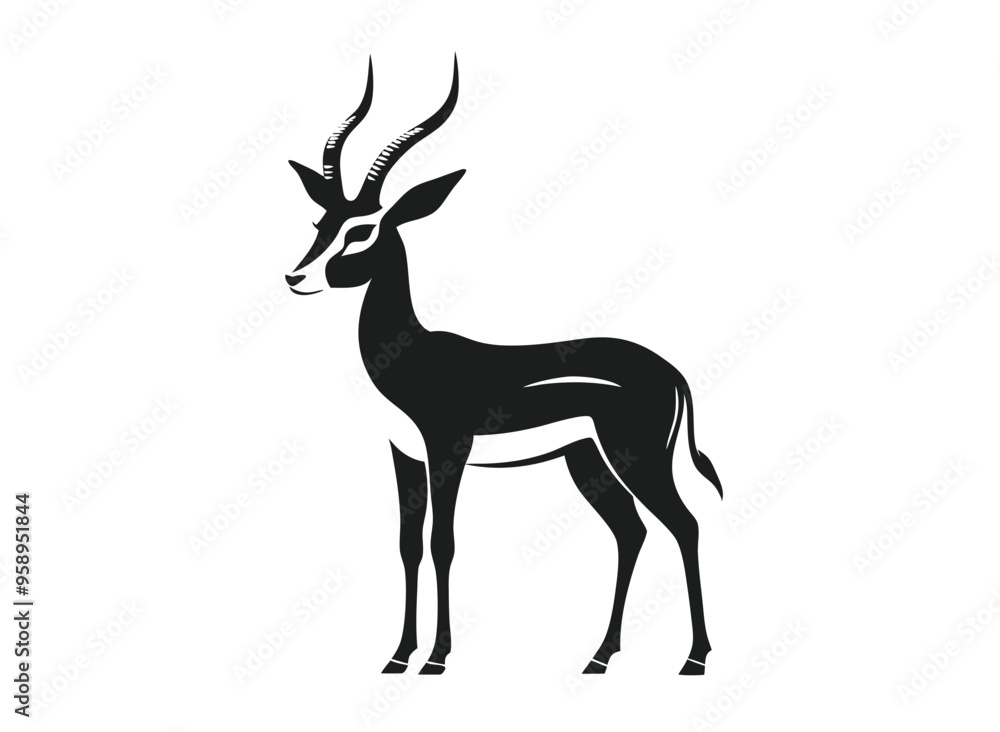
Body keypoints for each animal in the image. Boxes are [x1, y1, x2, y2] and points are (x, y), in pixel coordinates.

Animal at [284, 56, 724, 676]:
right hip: (586, 459)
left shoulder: (448, 447)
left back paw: (694, 659)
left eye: (362, 229)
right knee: (631, 531)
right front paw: (397, 656)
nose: (296, 277)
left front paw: (437, 658)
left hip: (634, 457)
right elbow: (408, 545)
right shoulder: (403, 453)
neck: (412, 354)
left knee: (684, 524)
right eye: (319, 224)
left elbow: (443, 542)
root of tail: (671, 371)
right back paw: (600, 657)